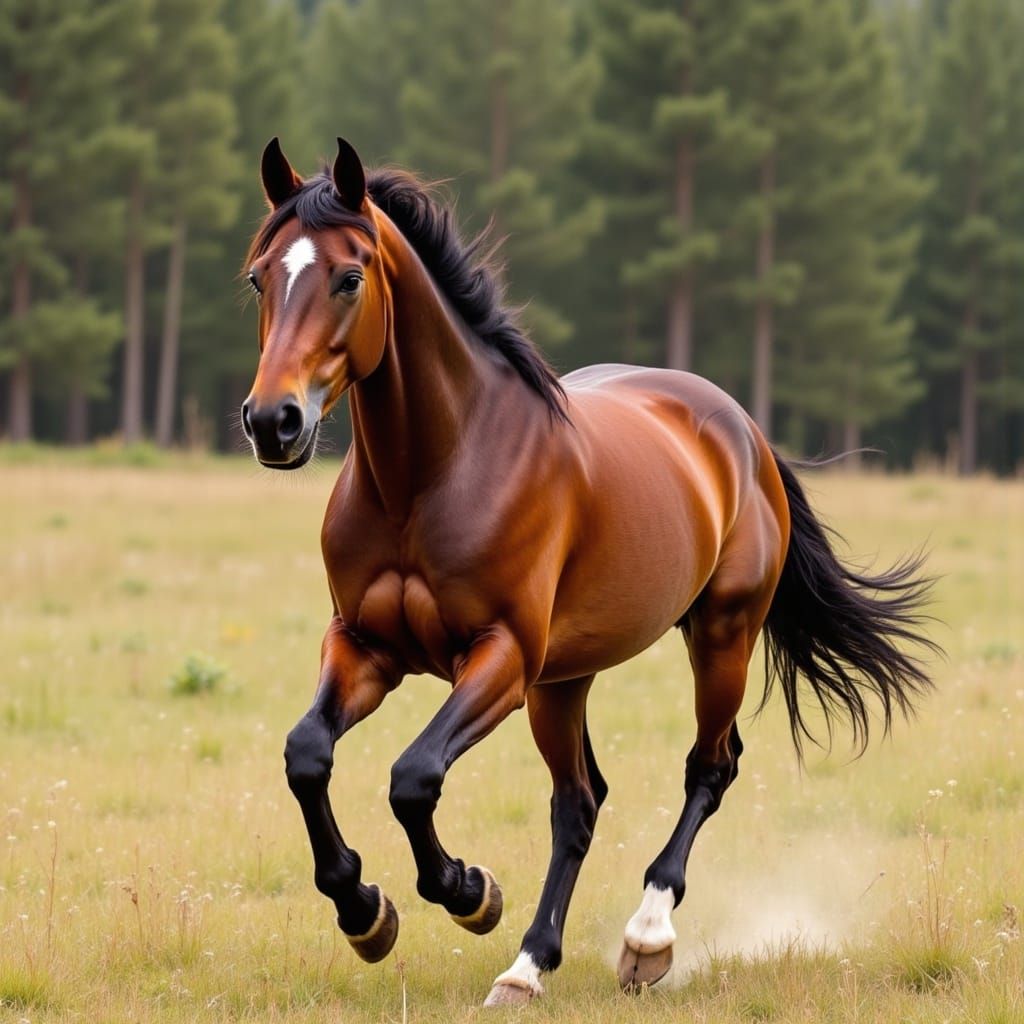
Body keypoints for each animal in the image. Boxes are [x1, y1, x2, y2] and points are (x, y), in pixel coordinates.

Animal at [240, 137, 936, 1006]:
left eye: (349, 278)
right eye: (258, 277)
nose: (274, 422)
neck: (432, 475)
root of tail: (740, 427)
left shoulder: (500, 658)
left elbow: (413, 775)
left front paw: (468, 891)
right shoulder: (366, 648)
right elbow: (307, 755)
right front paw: (365, 911)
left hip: (718, 636)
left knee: (709, 767)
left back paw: (646, 938)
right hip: (564, 680)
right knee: (579, 802)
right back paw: (528, 966)